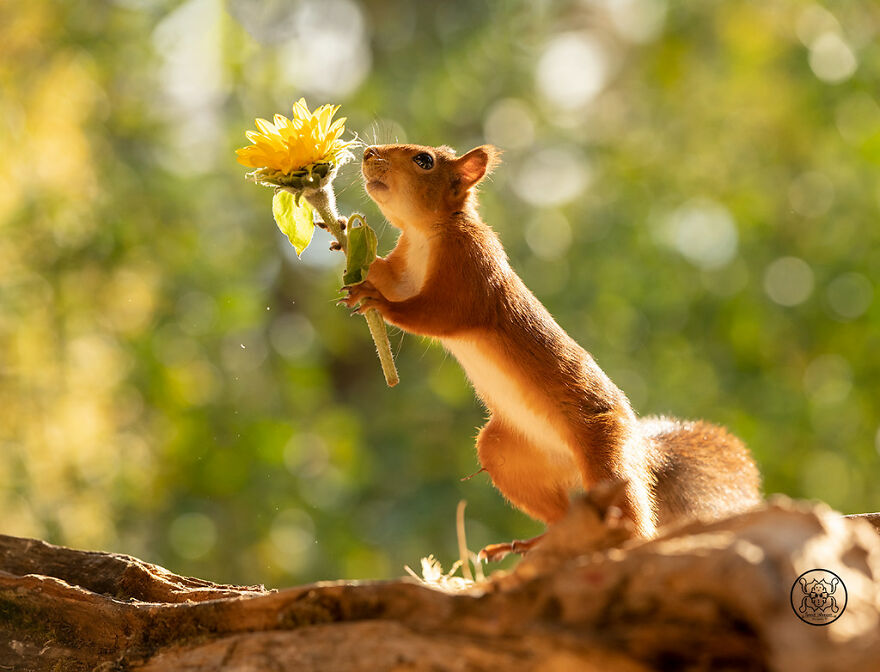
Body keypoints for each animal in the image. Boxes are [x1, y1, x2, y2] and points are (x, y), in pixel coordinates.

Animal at [343, 143, 762, 560]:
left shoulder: (471, 273)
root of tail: (639, 447)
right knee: (558, 512)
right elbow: (389, 277)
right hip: (507, 457)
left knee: (633, 519)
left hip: (606, 456)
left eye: (424, 161)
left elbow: (435, 315)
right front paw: (346, 245)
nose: (368, 153)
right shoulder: (405, 268)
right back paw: (536, 543)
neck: (424, 234)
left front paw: (377, 301)